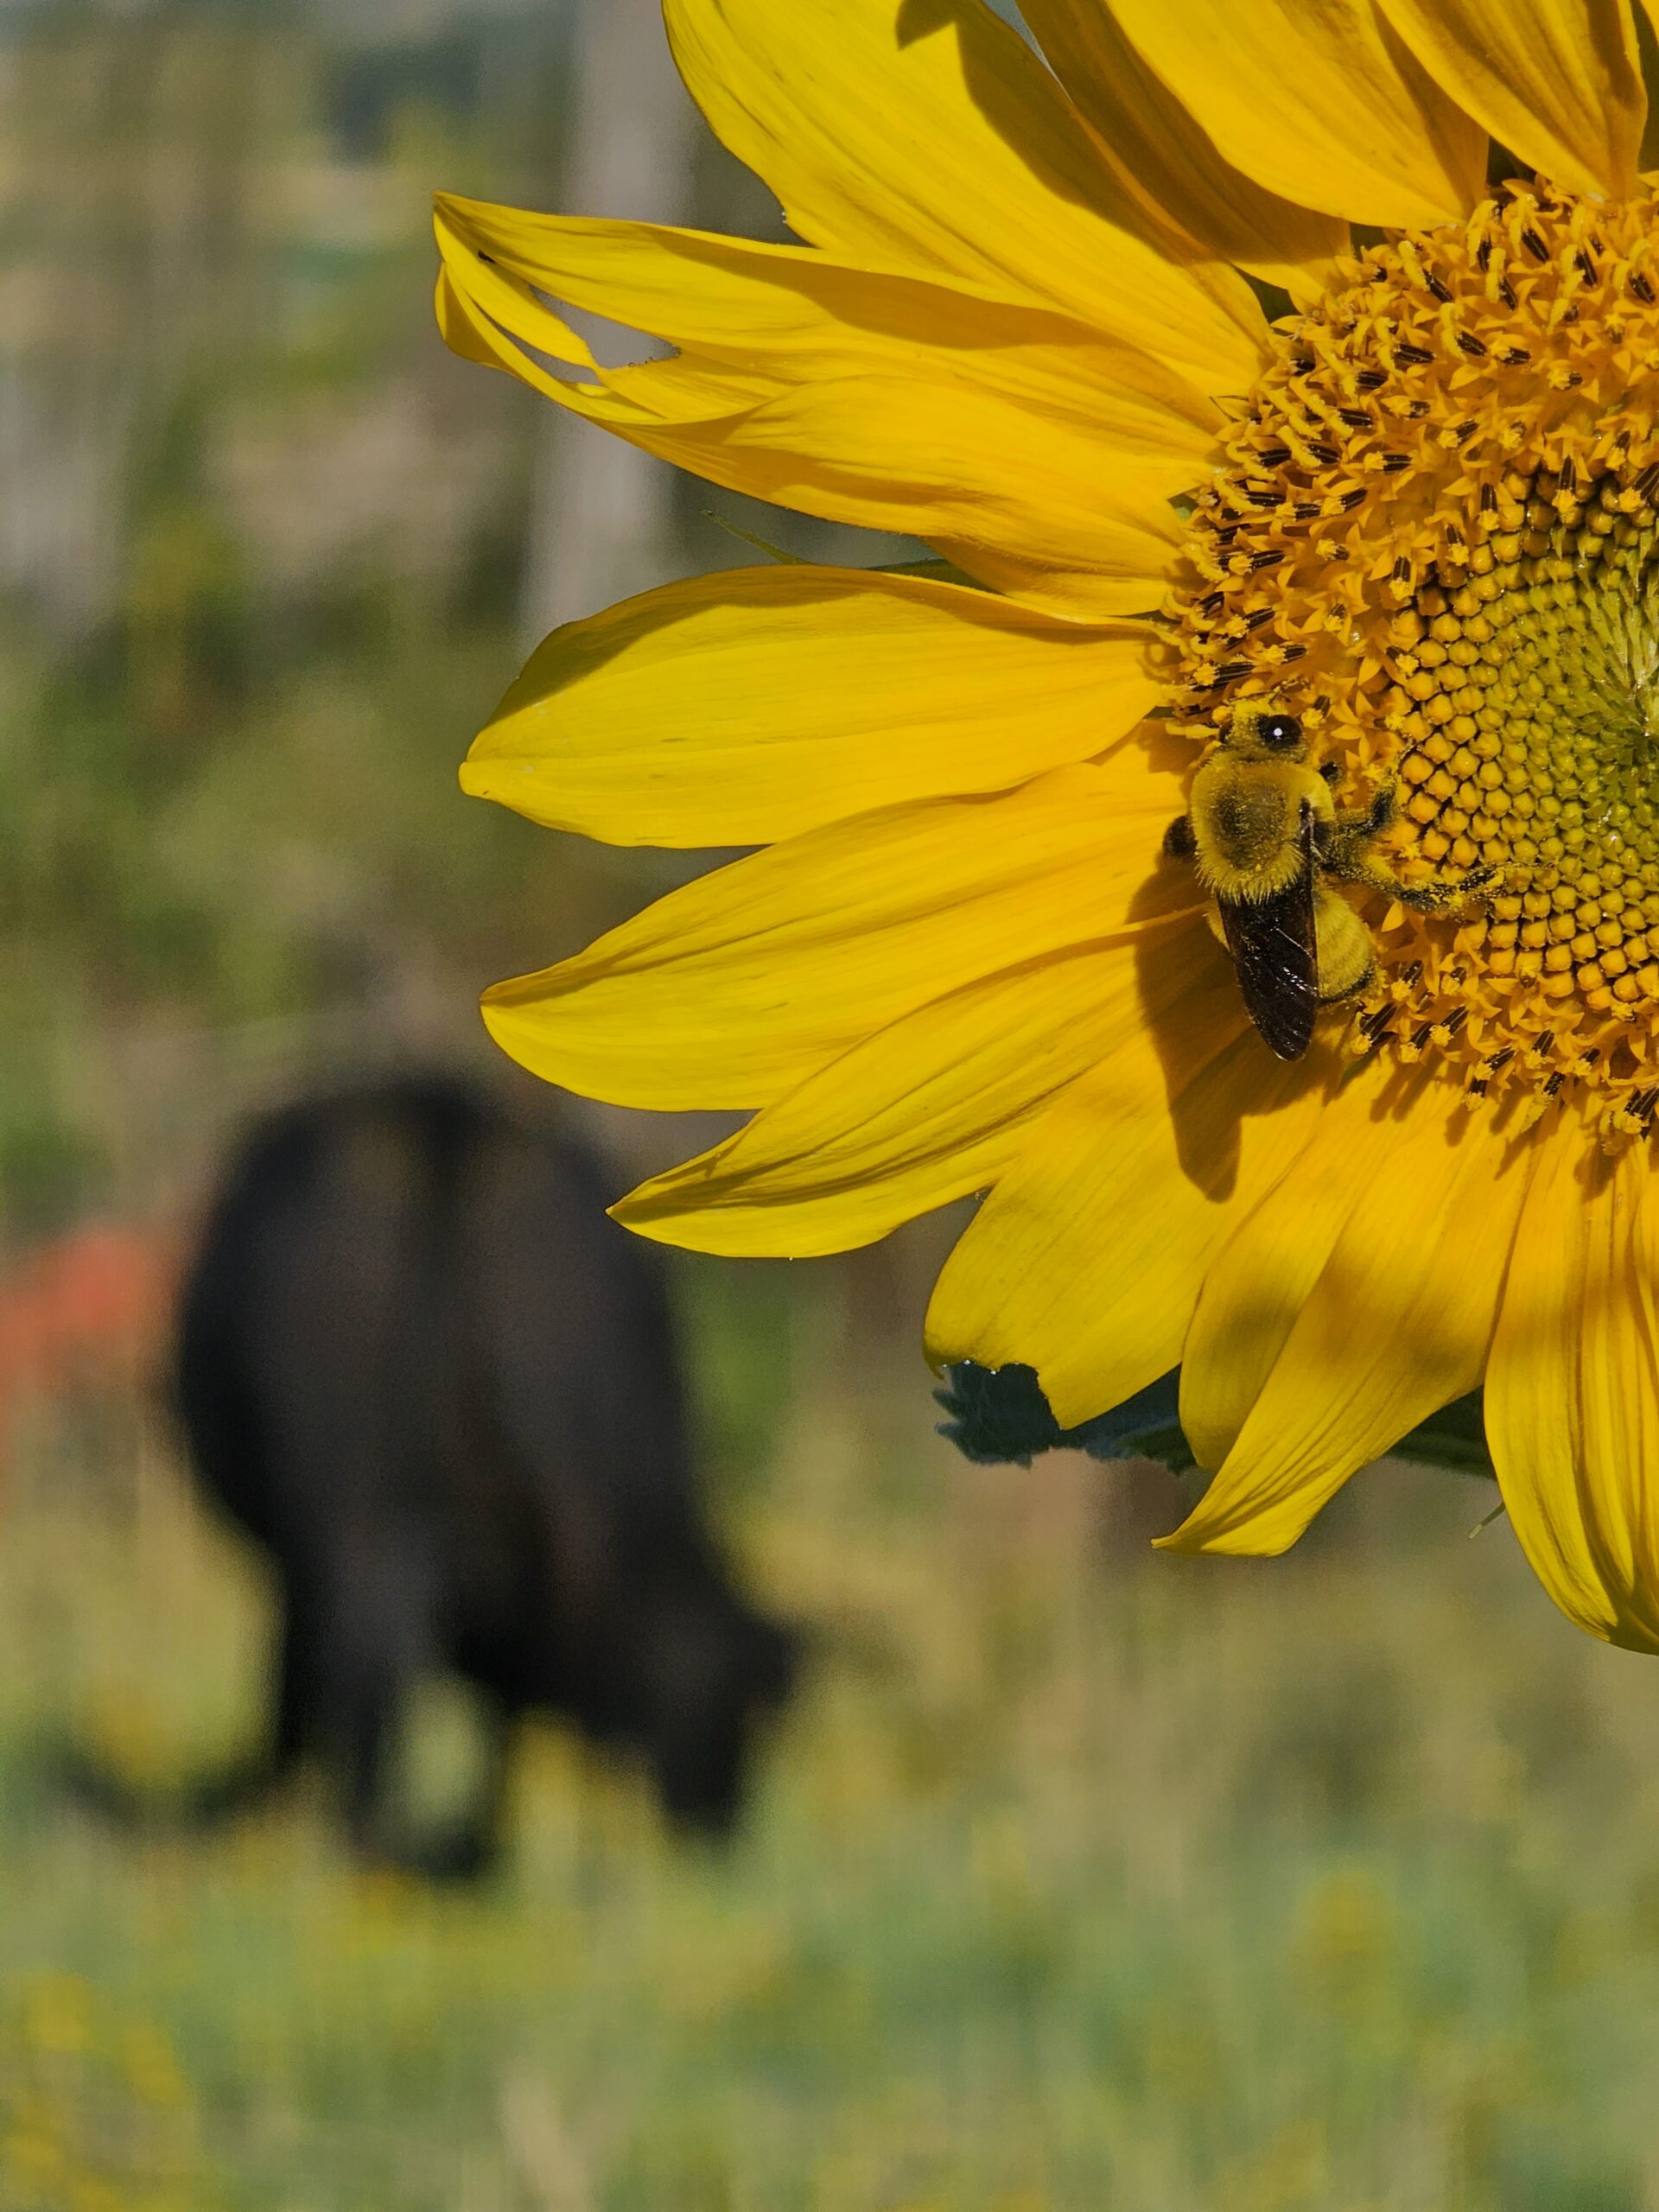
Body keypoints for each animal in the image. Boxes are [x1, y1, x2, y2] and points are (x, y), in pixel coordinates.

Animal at [168, 1079, 791, 1875]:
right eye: (739, 1715)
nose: (721, 1828)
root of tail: (445, 1133)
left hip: (357, 1508)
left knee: (371, 1652)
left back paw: (374, 1840)